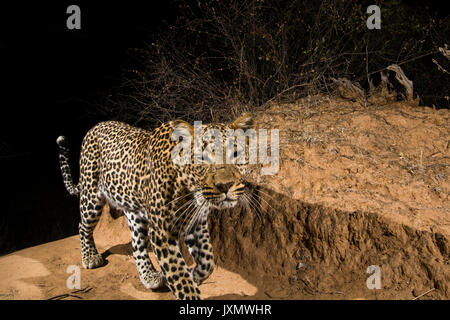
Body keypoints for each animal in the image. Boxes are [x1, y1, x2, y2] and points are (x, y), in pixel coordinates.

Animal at [56, 113, 255, 300]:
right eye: (202, 158)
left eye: (236, 154)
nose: (225, 185)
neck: (191, 188)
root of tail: (95, 126)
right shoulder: (162, 233)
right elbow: (180, 277)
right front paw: (187, 287)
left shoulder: (196, 222)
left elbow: (207, 261)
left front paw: (193, 275)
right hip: (91, 195)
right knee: (83, 225)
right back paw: (90, 256)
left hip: (134, 209)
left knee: (137, 244)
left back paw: (149, 275)